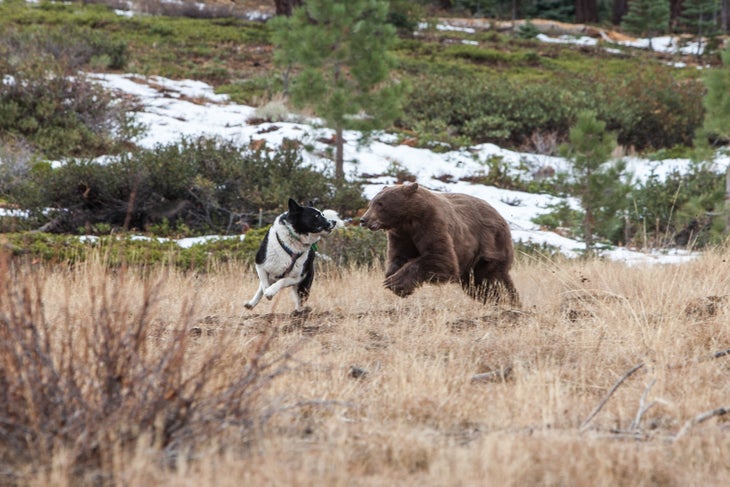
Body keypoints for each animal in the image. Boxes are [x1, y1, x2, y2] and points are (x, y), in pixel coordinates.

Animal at [358, 183, 516, 304]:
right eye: (371, 203)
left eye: (380, 204)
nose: (363, 220)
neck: (408, 219)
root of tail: (501, 217)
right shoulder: (401, 234)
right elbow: (399, 256)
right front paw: (393, 278)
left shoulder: (431, 223)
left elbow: (440, 258)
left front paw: (396, 282)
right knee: (477, 285)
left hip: (490, 247)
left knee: (492, 280)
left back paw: (508, 301)